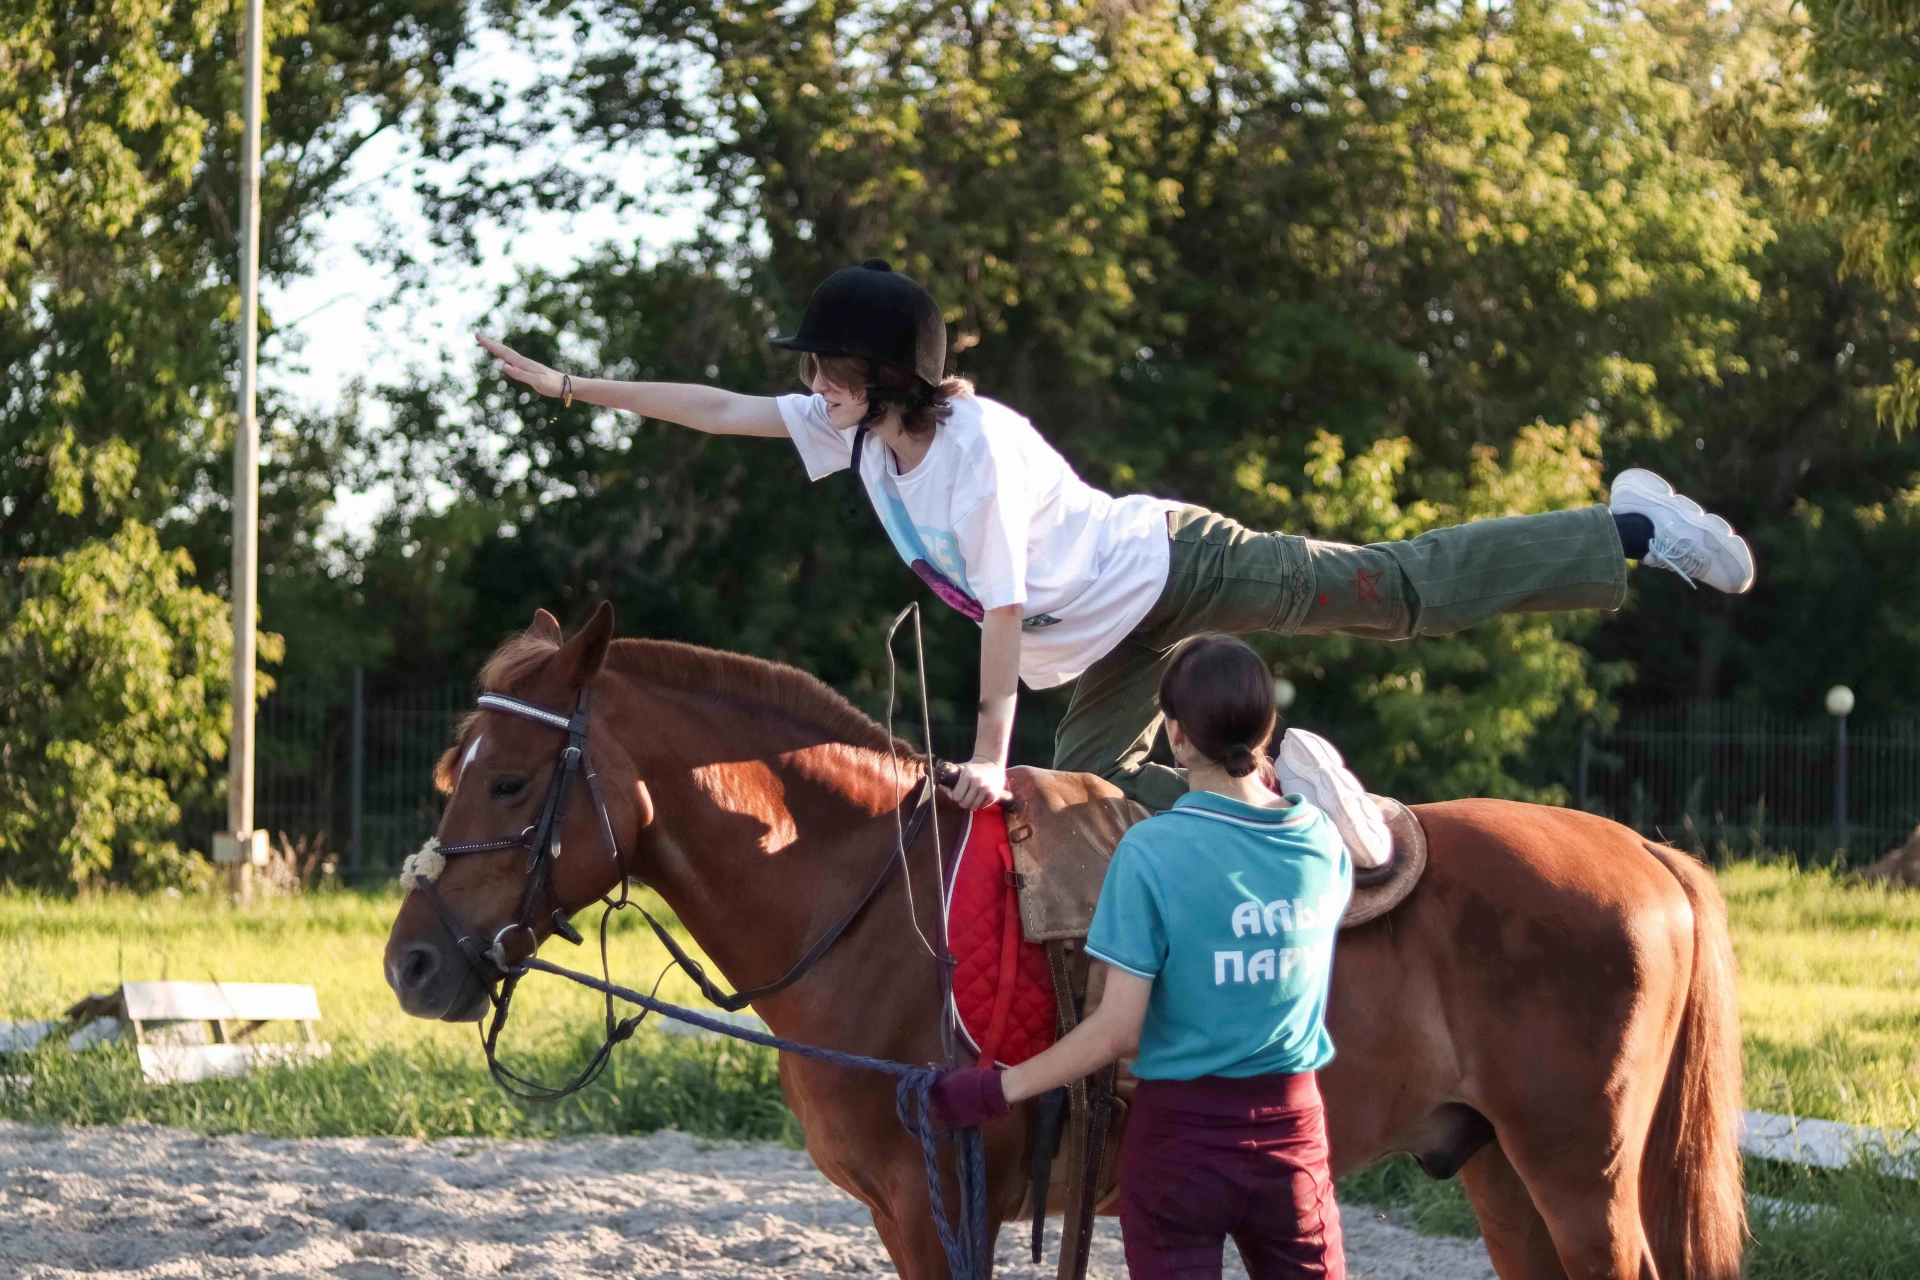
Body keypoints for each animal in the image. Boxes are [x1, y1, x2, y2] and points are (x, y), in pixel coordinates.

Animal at [385, 610, 1743, 1280]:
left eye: (509, 780)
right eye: (449, 767)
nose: (413, 962)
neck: (871, 903)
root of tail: (1648, 854)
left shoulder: (945, 1206)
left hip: (1578, 1170)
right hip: (1499, 1168)